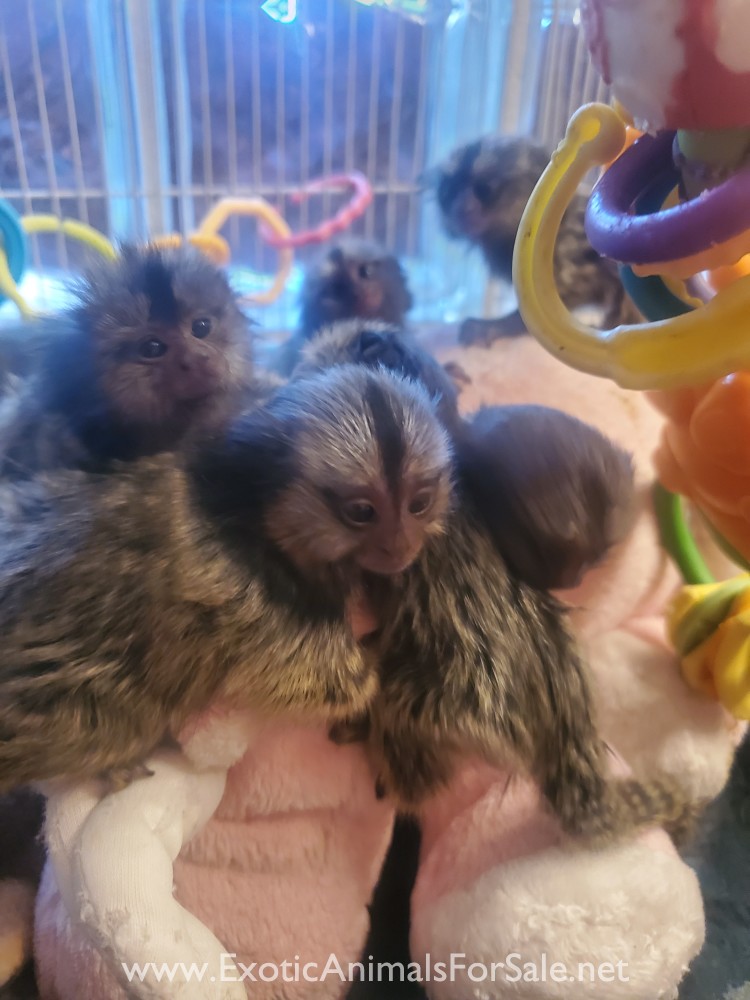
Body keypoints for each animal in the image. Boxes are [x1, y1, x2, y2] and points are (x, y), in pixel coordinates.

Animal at [0, 363, 452, 792]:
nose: (400, 545)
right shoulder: (261, 604)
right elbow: (330, 682)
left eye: (419, 504)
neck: (259, 519)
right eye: (361, 512)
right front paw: (384, 658)